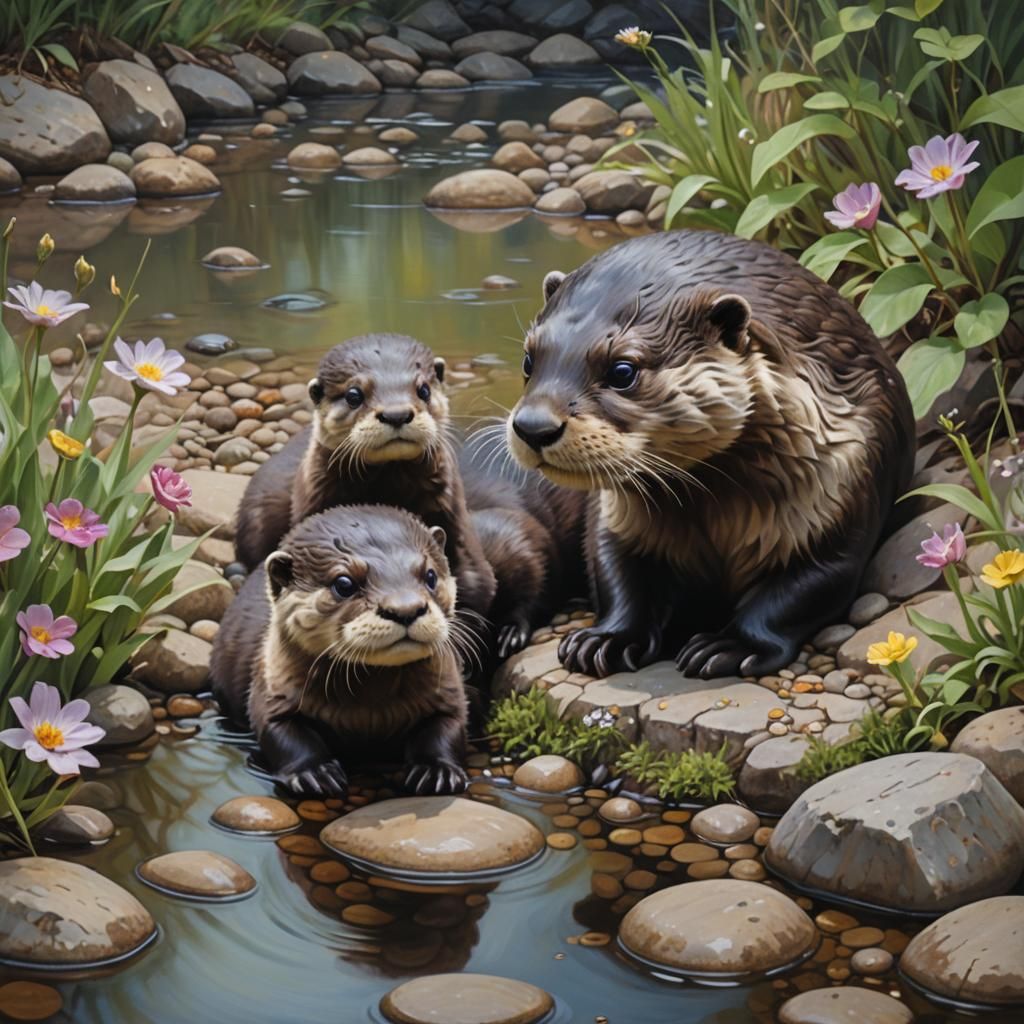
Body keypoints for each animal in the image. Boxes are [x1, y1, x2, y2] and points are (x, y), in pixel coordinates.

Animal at [211, 506, 469, 798]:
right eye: (344, 584)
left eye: (431, 575)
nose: (406, 609)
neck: (369, 712)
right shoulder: (272, 689)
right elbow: (283, 734)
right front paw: (313, 772)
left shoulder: (448, 689)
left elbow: (448, 727)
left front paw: (438, 771)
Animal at [506, 230, 915, 679]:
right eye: (529, 359)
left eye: (622, 370)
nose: (533, 427)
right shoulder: (613, 516)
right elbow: (616, 568)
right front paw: (606, 638)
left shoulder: (845, 486)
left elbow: (801, 589)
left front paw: (731, 645)